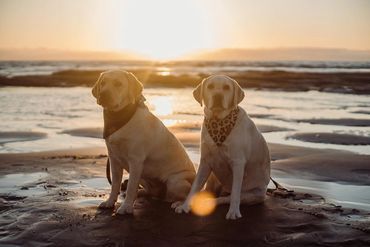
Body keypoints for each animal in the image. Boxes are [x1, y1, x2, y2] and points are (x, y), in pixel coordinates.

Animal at [92, 69, 197, 214]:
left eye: (118, 84)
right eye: (102, 83)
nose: (103, 94)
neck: (119, 117)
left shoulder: (136, 161)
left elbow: (131, 186)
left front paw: (126, 207)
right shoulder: (114, 160)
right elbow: (115, 185)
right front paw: (110, 202)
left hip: (175, 181)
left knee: (184, 196)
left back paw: (178, 203)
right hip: (143, 175)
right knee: (150, 192)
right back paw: (141, 193)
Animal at [172, 75, 270, 220]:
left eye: (227, 87)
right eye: (210, 86)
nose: (217, 96)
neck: (218, 122)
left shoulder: (238, 163)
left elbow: (235, 193)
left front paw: (233, 212)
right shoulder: (205, 162)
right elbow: (194, 187)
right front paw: (185, 206)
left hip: (253, 194)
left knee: (226, 198)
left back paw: (211, 201)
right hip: (213, 177)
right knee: (206, 191)